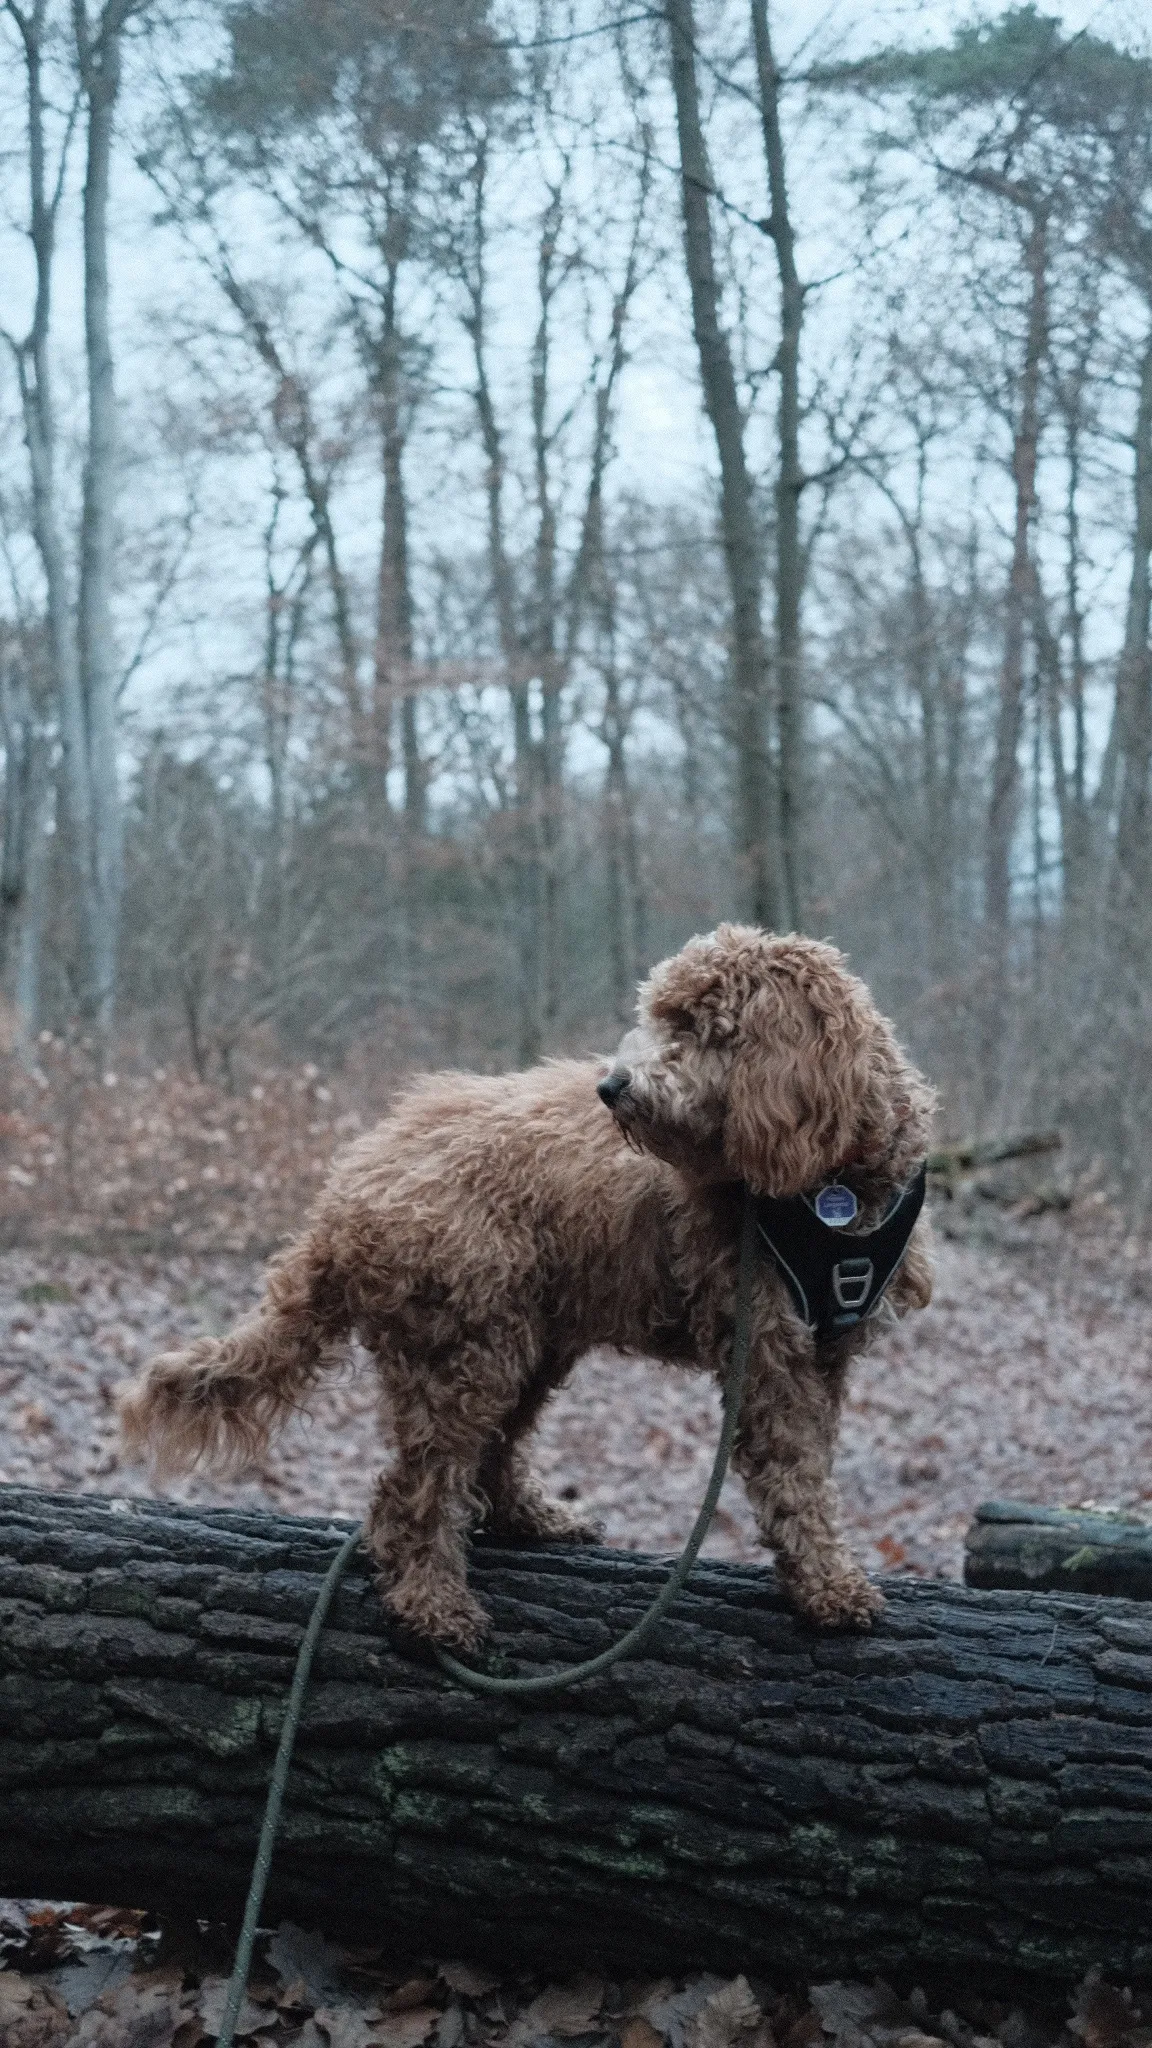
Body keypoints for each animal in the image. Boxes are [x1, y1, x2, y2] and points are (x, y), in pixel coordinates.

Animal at [120, 929, 934, 1646]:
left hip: (523, 1341)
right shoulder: (765, 1352)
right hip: (464, 1346)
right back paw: (433, 1606)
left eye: (704, 1028)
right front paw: (830, 1587)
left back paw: (531, 1519)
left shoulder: (821, 1354)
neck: (829, 1187)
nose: (612, 1085)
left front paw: (823, 1576)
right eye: (660, 1017)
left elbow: (813, 1469)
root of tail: (346, 1191)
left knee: (487, 1455)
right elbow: (797, 1479)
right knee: (412, 1495)